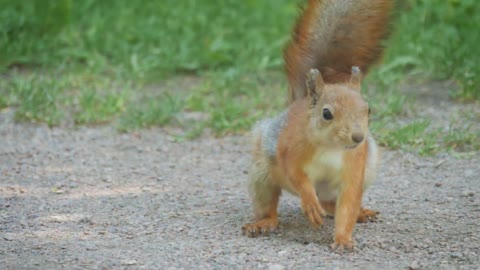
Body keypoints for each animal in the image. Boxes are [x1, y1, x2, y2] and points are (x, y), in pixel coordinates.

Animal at [242, 0, 392, 251]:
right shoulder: (290, 148)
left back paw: (361, 213)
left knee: (332, 204)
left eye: (368, 109)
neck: (331, 147)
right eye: (327, 113)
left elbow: (348, 202)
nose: (358, 137)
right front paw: (309, 201)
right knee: (270, 204)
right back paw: (263, 222)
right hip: (261, 173)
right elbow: (294, 172)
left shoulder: (355, 164)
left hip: (368, 170)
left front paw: (343, 239)